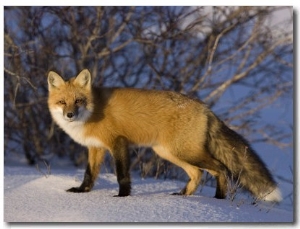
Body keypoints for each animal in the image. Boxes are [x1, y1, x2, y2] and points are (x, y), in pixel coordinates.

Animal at [47, 69, 282, 201]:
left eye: (78, 101)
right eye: (62, 102)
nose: (69, 115)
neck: (93, 111)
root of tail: (205, 108)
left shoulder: (118, 143)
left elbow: (122, 175)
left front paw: (122, 197)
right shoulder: (95, 148)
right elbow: (89, 174)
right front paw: (82, 191)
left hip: (184, 152)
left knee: (221, 168)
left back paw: (219, 199)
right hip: (169, 153)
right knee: (197, 174)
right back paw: (184, 196)